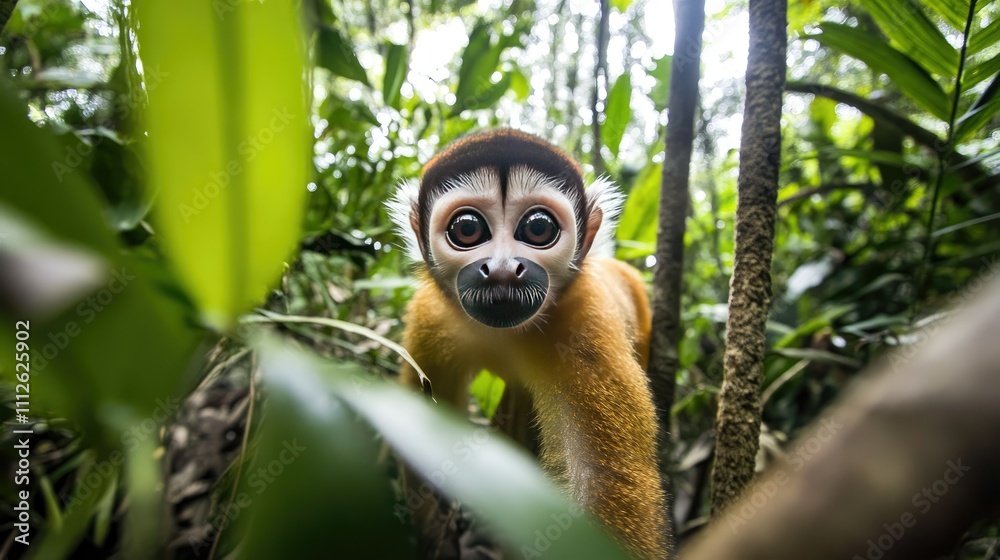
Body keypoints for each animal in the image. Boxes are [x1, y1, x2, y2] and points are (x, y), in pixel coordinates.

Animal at [388, 129, 669, 559]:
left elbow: (601, 481)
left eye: (538, 228)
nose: (502, 269)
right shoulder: (430, 317)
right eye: (467, 229)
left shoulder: (585, 325)